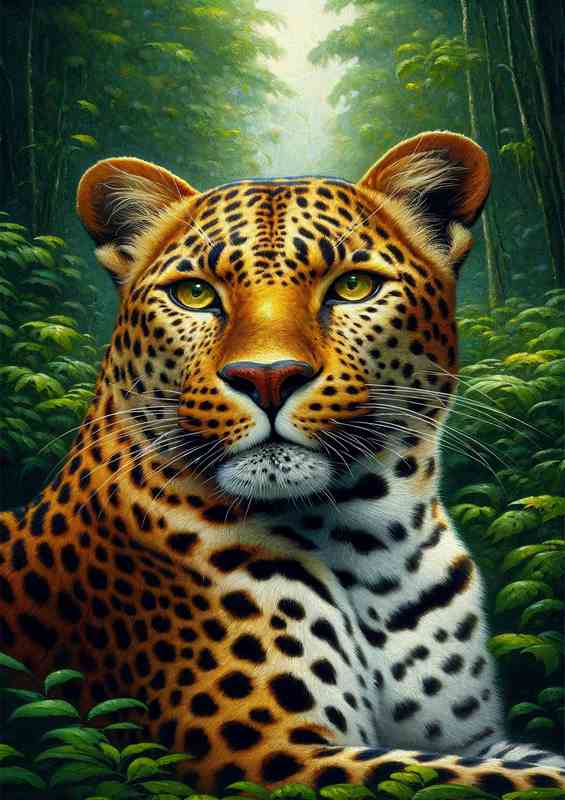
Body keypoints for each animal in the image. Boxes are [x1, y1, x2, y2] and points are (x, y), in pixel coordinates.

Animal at [1, 131, 564, 795]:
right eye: (195, 294)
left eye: (353, 286)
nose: (267, 377)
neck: (375, 545)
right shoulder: (270, 756)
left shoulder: (467, 740)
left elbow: (526, 764)